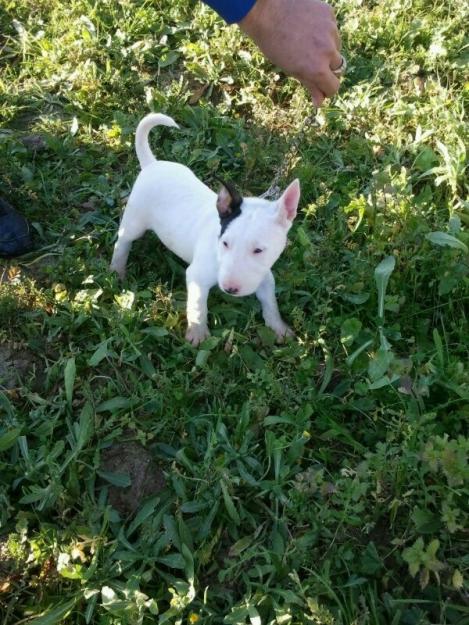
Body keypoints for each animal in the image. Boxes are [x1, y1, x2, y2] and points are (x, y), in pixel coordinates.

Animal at [109, 112, 300, 346]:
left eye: (258, 250)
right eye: (225, 243)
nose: (229, 289)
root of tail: (152, 165)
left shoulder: (264, 276)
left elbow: (270, 303)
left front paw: (279, 327)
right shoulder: (197, 276)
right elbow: (198, 305)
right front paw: (198, 333)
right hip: (134, 221)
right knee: (123, 241)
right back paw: (117, 270)